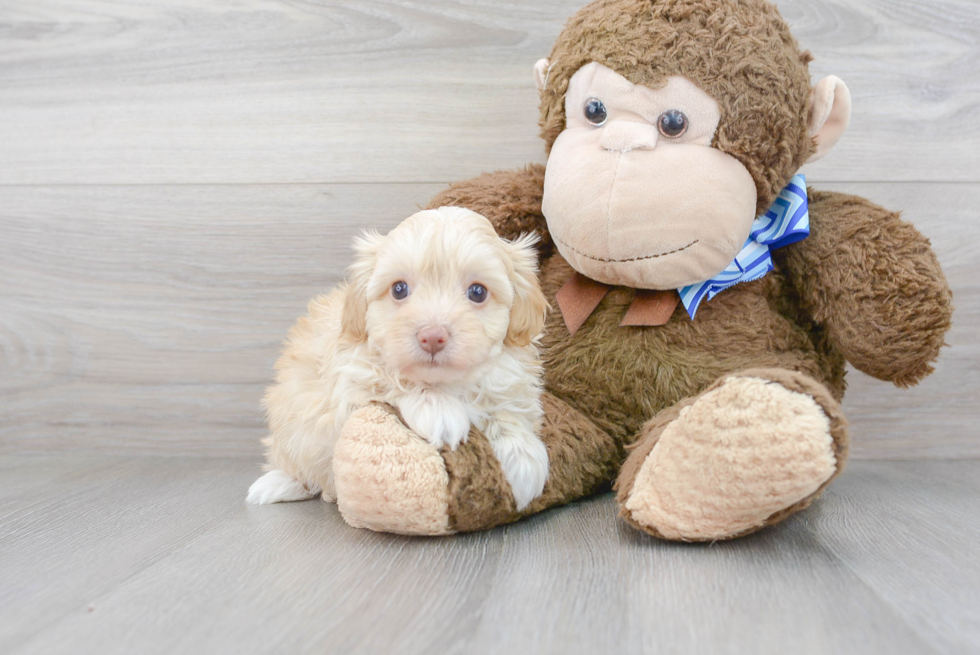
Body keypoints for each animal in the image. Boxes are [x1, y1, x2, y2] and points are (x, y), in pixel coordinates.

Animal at [245, 209, 552, 512]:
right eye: (399, 289)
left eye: (478, 292)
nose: (432, 336)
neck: (447, 383)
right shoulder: (349, 381)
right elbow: (392, 379)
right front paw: (439, 410)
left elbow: (508, 411)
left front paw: (524, 459)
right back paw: (276, 484)